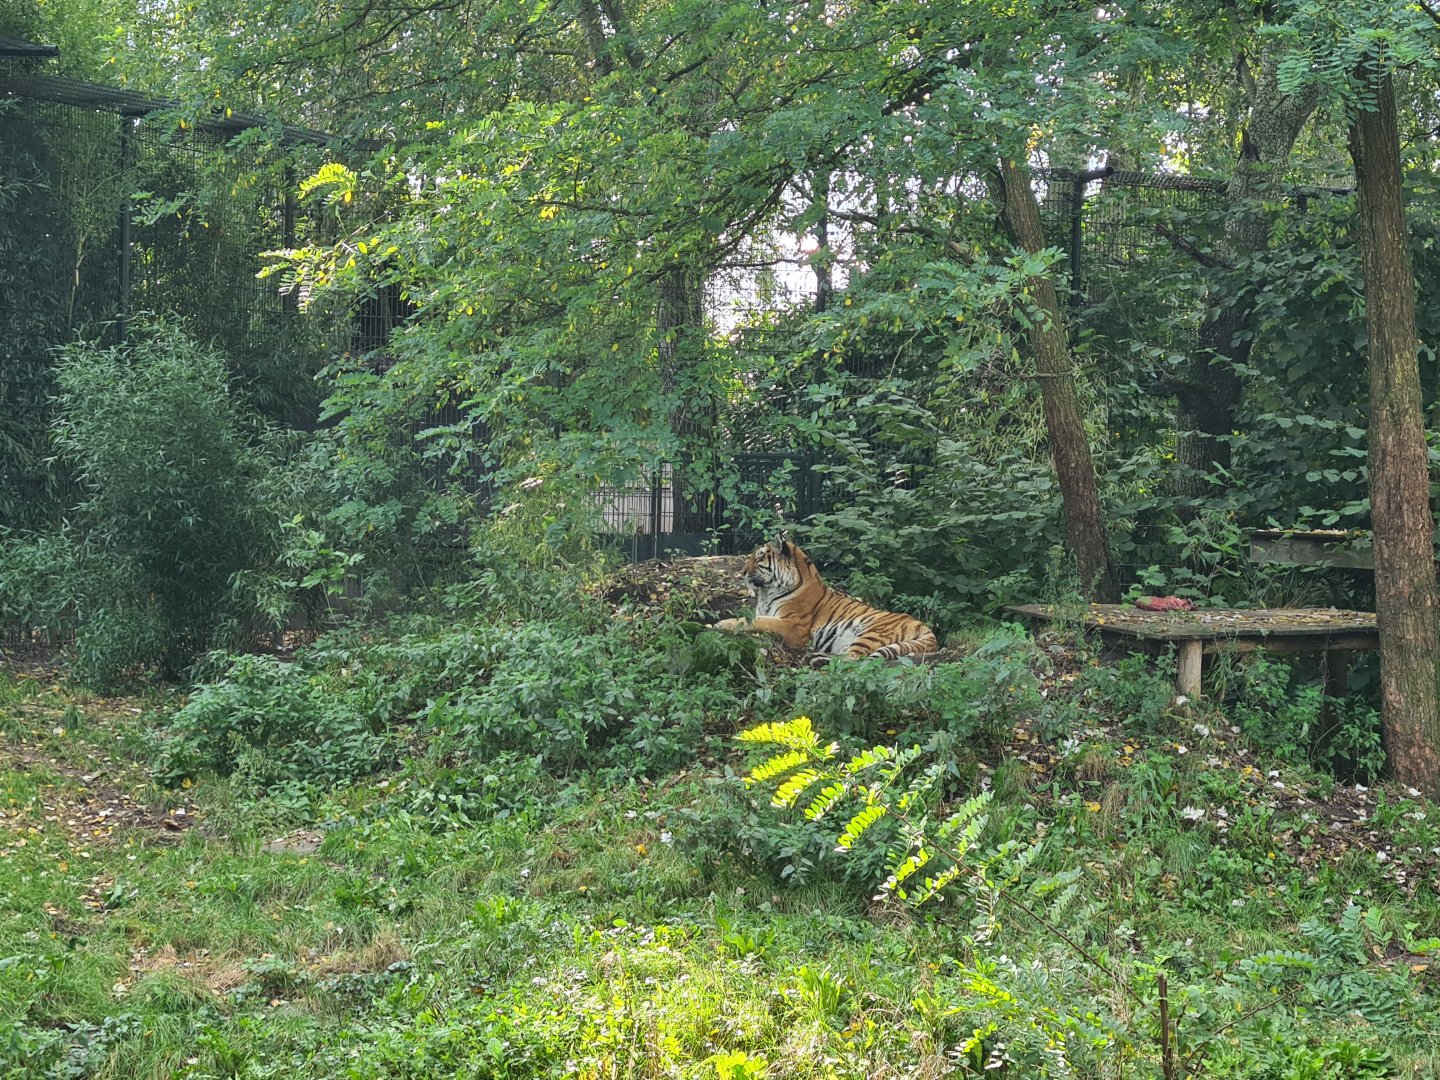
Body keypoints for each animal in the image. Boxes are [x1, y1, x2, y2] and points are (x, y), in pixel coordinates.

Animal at [712, 534, 938, 664]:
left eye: (759, 557)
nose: (742, 572)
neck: (767, 592)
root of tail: (923, 625)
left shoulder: (793, 626)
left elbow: (758, 621)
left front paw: (722, 624)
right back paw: (817, 657)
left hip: (873, 632)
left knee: (854, 659)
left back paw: (819, 660)